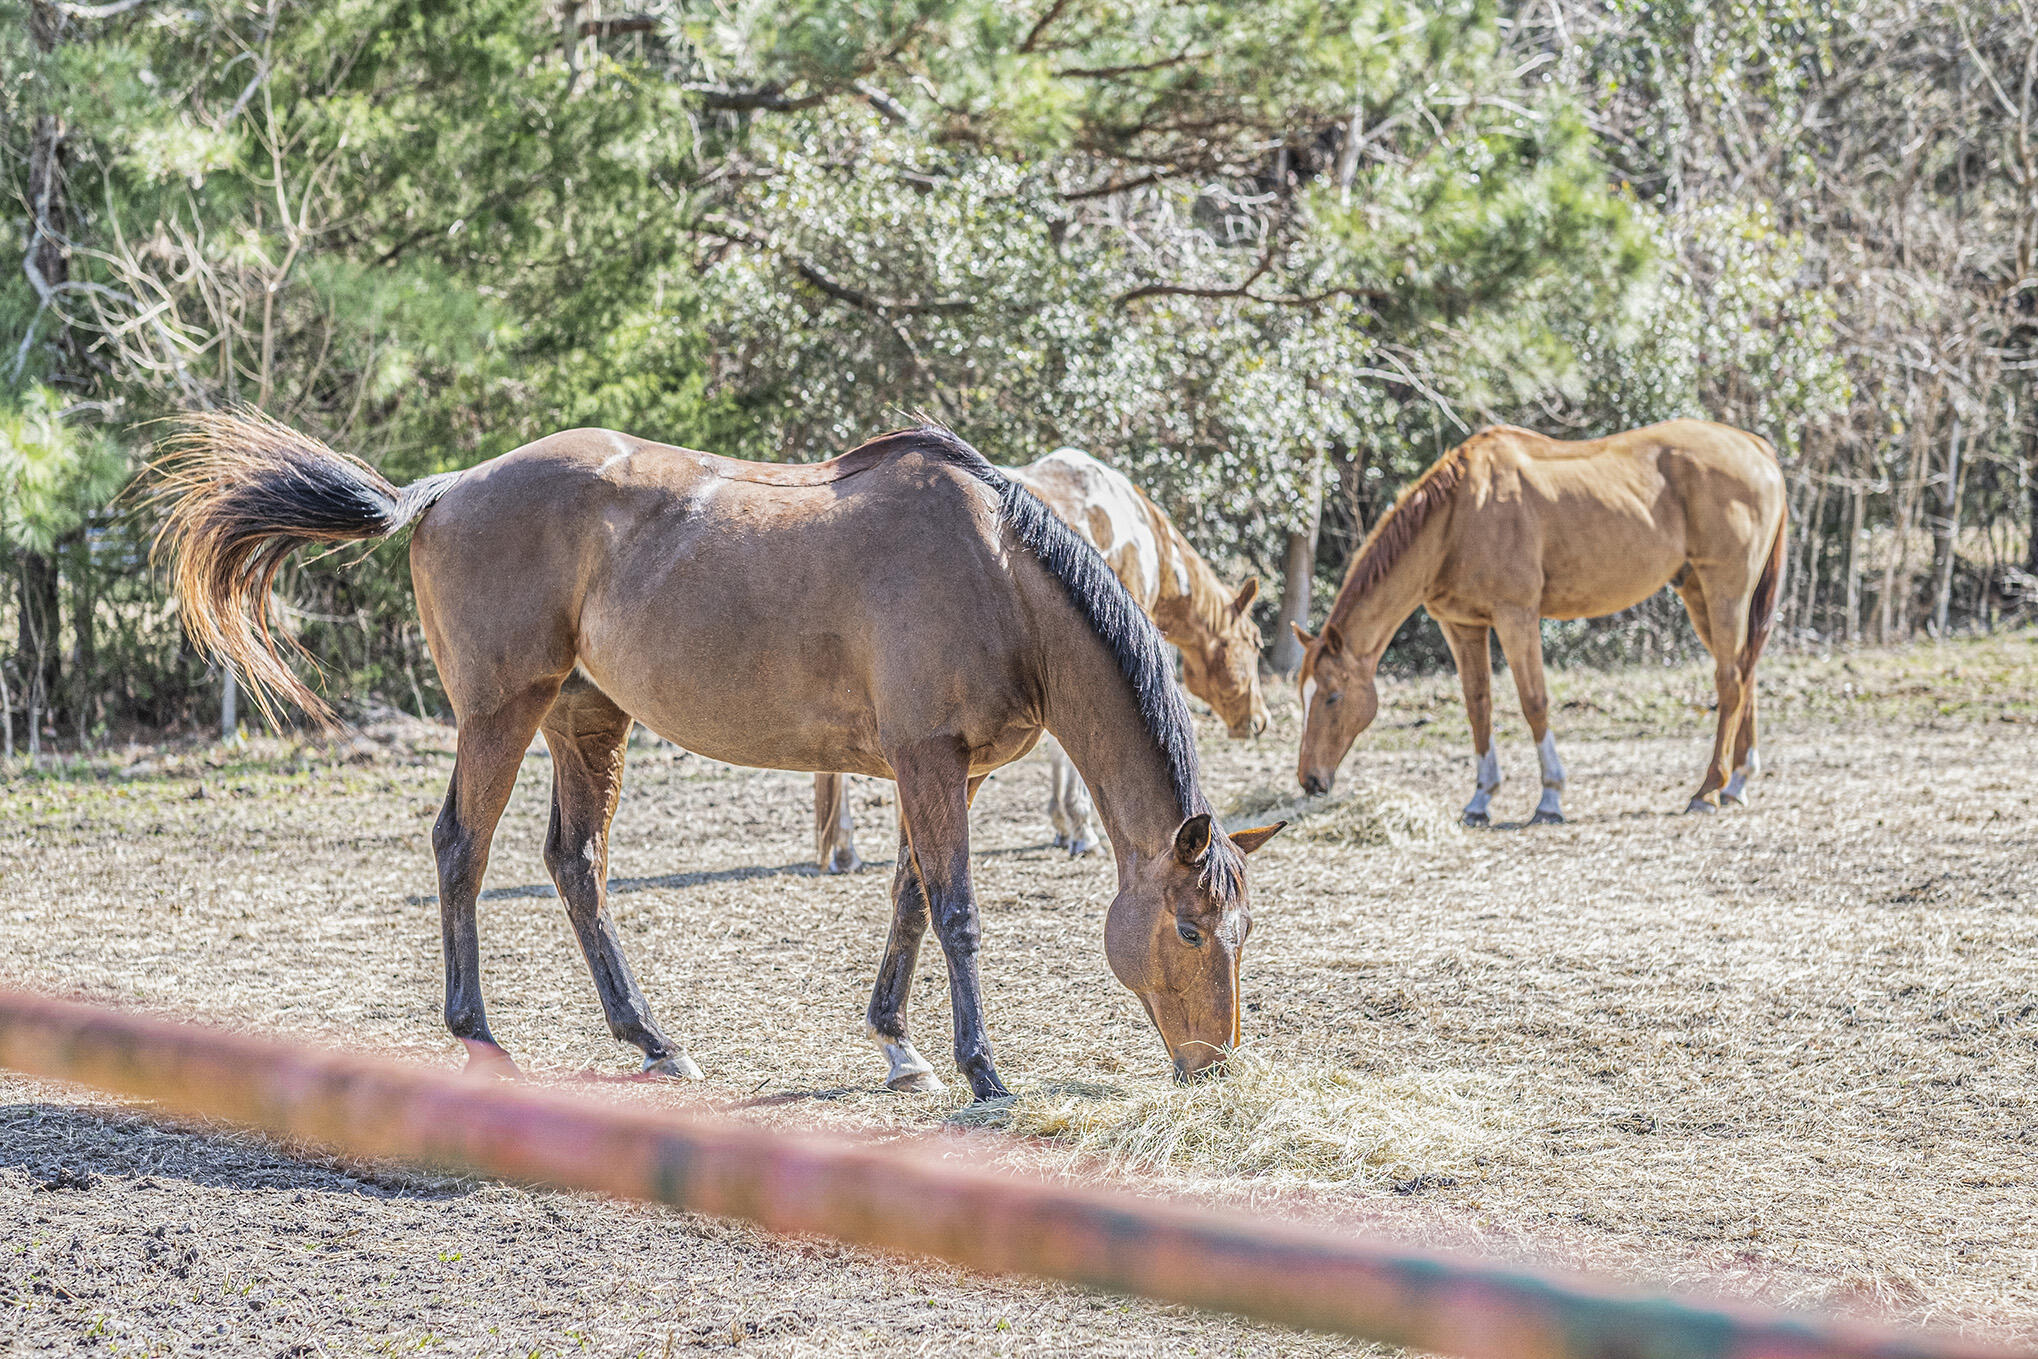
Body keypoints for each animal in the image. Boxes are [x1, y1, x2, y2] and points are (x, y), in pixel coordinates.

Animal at [813, 447, 1267, 871]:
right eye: (1255, 641)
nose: (1259, 721)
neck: (1139, 529)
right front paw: (1080, 829)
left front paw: (1063, 824)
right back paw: (846, 849)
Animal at [1292, 420, 1786, 823]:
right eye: (1304, 696)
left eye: (1333, 697)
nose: (1310, 780)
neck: (1457, 517)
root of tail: (1756, 447)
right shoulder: (1462, 626)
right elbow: (1478, 706)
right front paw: (1481, 800)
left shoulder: (1517, 617)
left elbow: (1534, 701)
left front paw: (1550, 798)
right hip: (1698, 593)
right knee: (1744, 674)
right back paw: (1737, 782)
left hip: (1725, 591)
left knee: (1729, 681)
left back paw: (1708, 790)